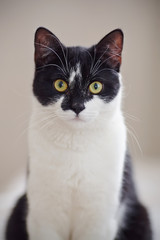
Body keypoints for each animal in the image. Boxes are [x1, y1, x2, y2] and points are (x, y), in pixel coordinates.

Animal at [5, 26, 152, 240]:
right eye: (60, 84)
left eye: (96, 86)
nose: (77, 106)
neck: (75, 143)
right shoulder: (43, 215)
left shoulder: (100, 218)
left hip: (142, 217)